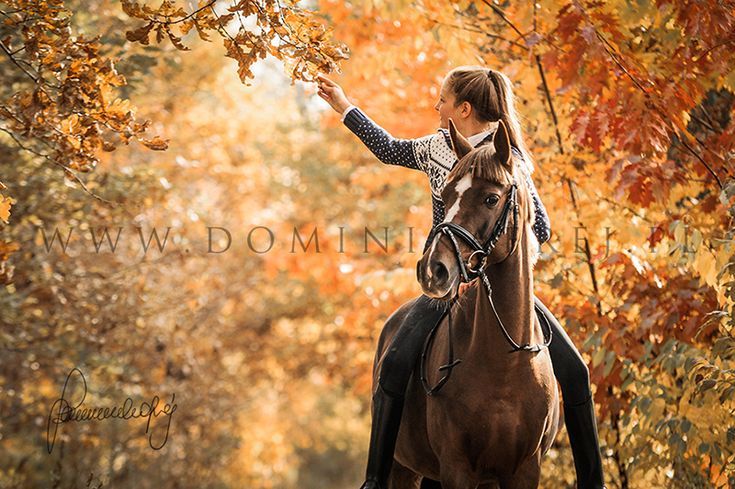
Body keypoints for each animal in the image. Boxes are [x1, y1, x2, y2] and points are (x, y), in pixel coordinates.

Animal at [370, 119, 560, 488]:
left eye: (491, 198)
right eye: (445, 196)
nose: (434, 270)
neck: (505, 364)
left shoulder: (525, 469)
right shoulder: (456, 468)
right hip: (402, 468)